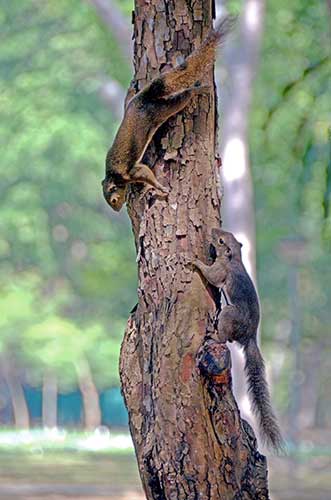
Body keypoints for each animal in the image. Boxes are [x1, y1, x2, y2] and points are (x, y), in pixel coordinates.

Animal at [102, 16, 235, 212]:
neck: (113, 175)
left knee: (183, 98)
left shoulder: (131, 172)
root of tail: (146, 97)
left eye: (112, 199)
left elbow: (146, 173)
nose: (117, 209)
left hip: (163, 109)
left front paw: (159, 187)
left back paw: (197, 90)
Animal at [192, 229, 286, 454]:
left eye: (220, 240)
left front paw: (195, 261)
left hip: (229, 314)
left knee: (225, 336)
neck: (233, 258)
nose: (212, 231)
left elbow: (211, 276)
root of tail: (249, 337)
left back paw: (215, 335)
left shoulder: (221, 271)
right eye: (225, 235)